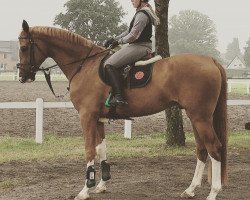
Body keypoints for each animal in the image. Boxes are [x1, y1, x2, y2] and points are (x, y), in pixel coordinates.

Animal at [18, 20, 228, 200]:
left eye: (24, 47)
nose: (22, 75)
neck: (85, 65)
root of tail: (211, 61)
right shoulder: (98, 119)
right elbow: (101, 149)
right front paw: (101, 184)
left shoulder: (86, 117)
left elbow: (89, 151)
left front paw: (85, 189)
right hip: (196, 117)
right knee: (202, 149)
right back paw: (190, 189)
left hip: (200, 118)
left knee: (214, 148)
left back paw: (213, 192)